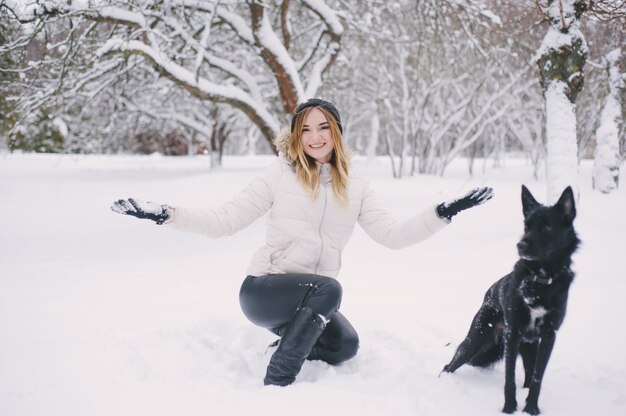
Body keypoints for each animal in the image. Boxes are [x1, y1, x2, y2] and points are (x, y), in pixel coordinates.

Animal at [442, 186, 576, 416]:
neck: (540, 280)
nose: (520, 245)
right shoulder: (512, 335)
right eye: (526, 226)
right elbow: (509, 376)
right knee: (450, 364)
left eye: (547, 227)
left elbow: (537, 378)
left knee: (529, 376)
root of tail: (488, 293)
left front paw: (531, 408)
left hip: (529, 346)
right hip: (475, 339)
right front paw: (509, 408)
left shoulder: (549, 336)